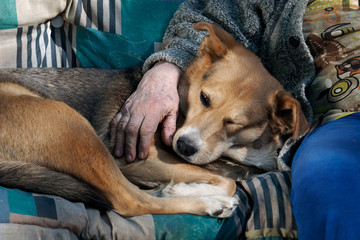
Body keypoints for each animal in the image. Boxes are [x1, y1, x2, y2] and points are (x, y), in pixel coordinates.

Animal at [0, 22, 310, 218]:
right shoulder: (140, 159)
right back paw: (210, 203)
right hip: (72, 125)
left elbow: (227, 178)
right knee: (130, 201)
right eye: (204, 98)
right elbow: (226, 182)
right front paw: (185, 189)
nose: (183, 147)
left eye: (236, 123)